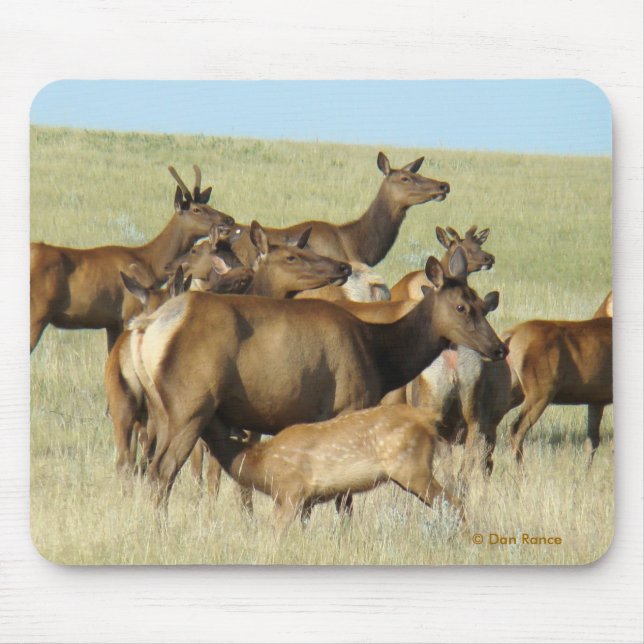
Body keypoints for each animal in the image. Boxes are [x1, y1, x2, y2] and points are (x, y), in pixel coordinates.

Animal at [30, 165, 234, 353]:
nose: (229, 220)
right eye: (197, 209)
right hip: (37, 313)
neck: (150, 263)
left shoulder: (111, 322)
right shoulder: (130, 311)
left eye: (209, 205)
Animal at [129, 246, 507, 510]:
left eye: (482, 303)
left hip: (162, 410)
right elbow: (345, 495)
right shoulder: (349, 403)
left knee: (150, 466)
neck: (380, 356)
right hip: (190, 406)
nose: (499, 347)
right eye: (461, 307)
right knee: (163, 470)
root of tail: (149, 327)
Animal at [204, 404, 463, 536]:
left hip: (413, 467)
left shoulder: (291, 491)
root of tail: (427, 421)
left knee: (455, 503)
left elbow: (276, 532)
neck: (262, 465)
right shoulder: (306, 501)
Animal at [502, 292, 613, 466]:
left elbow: (592, 441)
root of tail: (509, 336)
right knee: (516, 428)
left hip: (513, 389)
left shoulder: (596, 399)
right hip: (541, 391)